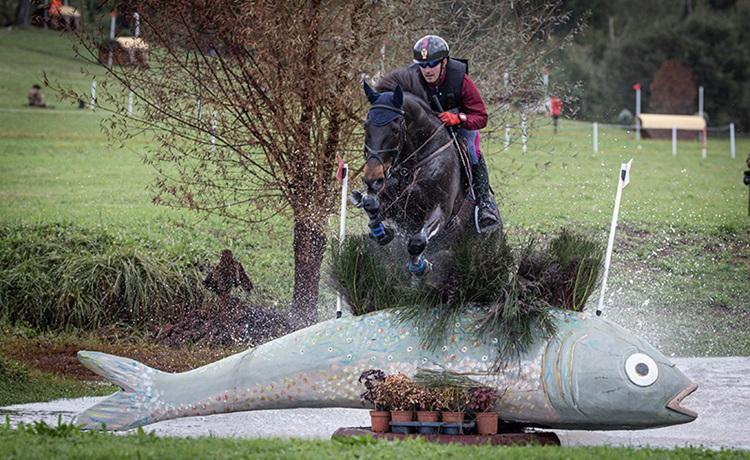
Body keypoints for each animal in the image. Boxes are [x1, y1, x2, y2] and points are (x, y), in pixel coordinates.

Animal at [352, 81, 482, 276]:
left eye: (395, 130)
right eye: (366, 127)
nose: (372, 179)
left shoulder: (441, 211)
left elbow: (417, 242)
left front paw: (419, 266)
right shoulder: (393, 203)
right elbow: (371, 206)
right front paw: (383, 232)